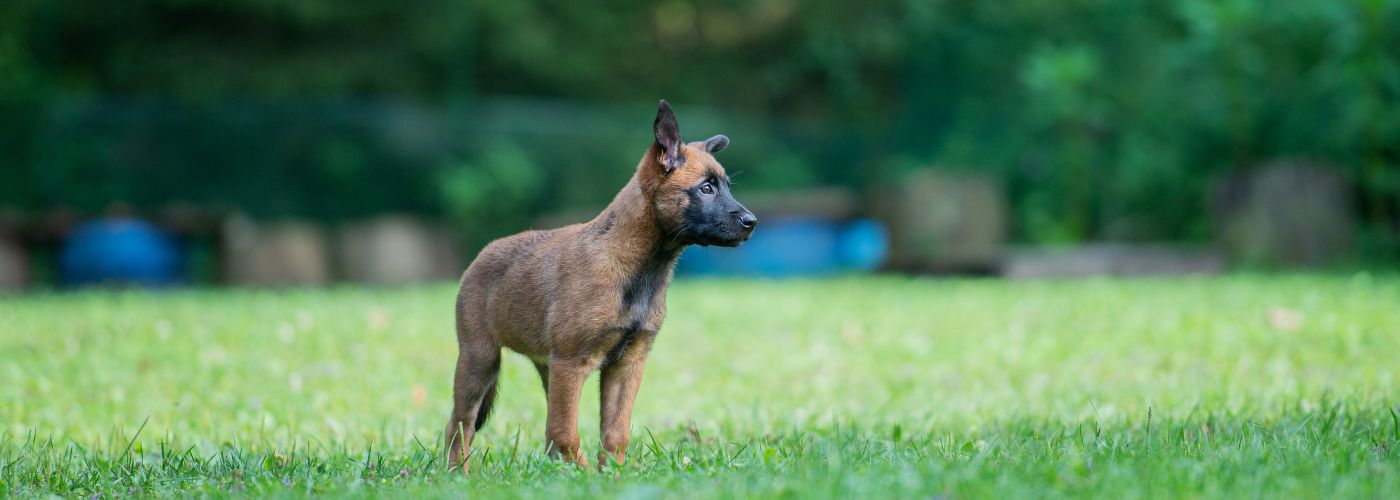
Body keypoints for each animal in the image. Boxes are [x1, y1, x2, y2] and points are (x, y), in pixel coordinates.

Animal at [445, 99, 756, 470]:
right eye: (706, 188)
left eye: (727, 187)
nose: (752, 222)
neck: (638, 268)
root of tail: (483, 253)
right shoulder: (572, 362)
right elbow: (566, 433)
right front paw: (584, 475)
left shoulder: (627, 364)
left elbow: (614, 433)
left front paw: (612, 475)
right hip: (480, 359)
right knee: (460, 425)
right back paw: (458, 474)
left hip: (546, 367)